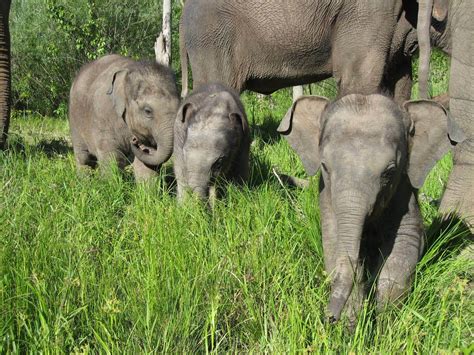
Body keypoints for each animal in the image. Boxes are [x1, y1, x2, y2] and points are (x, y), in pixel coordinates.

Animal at [278, 94, 452, 328]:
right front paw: (353, 324)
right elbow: (334, 246)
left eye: (389, 172)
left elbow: (404, 245)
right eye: (325, 167)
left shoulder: (404, 190)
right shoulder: (327, 195)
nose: (329, 318)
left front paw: (383, 324)